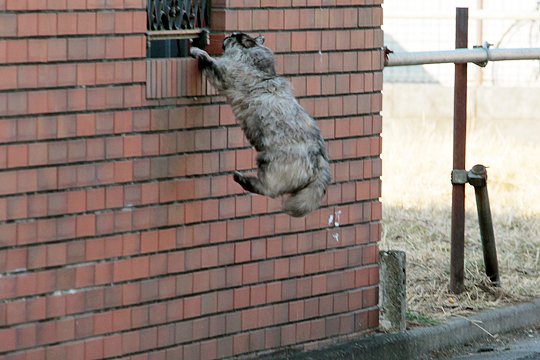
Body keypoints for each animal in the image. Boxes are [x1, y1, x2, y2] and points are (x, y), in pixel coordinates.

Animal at [190, 33, 334, 217]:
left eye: (234, 36)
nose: (227, 35)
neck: (258, 65)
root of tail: (320, 160)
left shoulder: (225, 72)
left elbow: (209, 60)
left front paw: (196, 50)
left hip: (268, 163)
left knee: (269, 190)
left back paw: (243, 179)